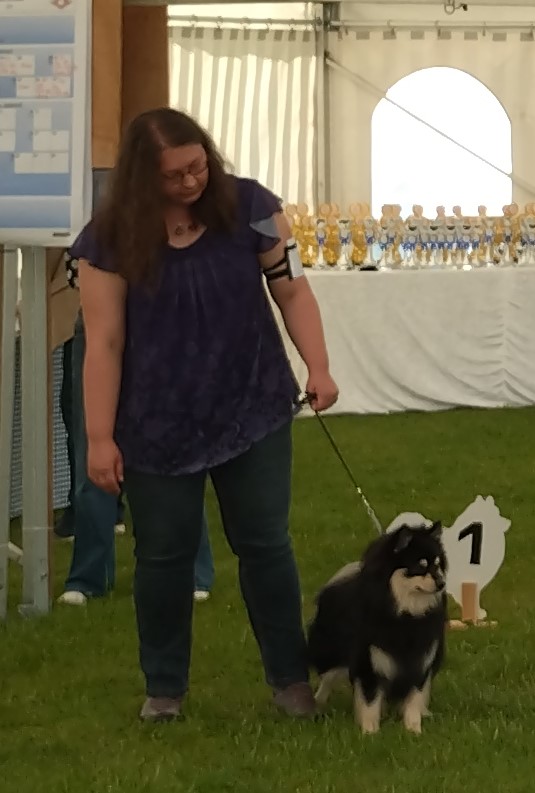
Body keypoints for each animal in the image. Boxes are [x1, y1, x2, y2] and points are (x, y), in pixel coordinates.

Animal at [307, 522, 448, 735]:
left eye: (438, 565)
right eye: (420, 566)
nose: (441, 583)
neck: (404, 614)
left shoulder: (420, 660)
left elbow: (414, 697)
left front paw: (414, 729)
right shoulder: (369, 661)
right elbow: (369, 700)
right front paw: (370, 732)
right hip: (331, 654)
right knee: (327, 678)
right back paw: (318, 701)